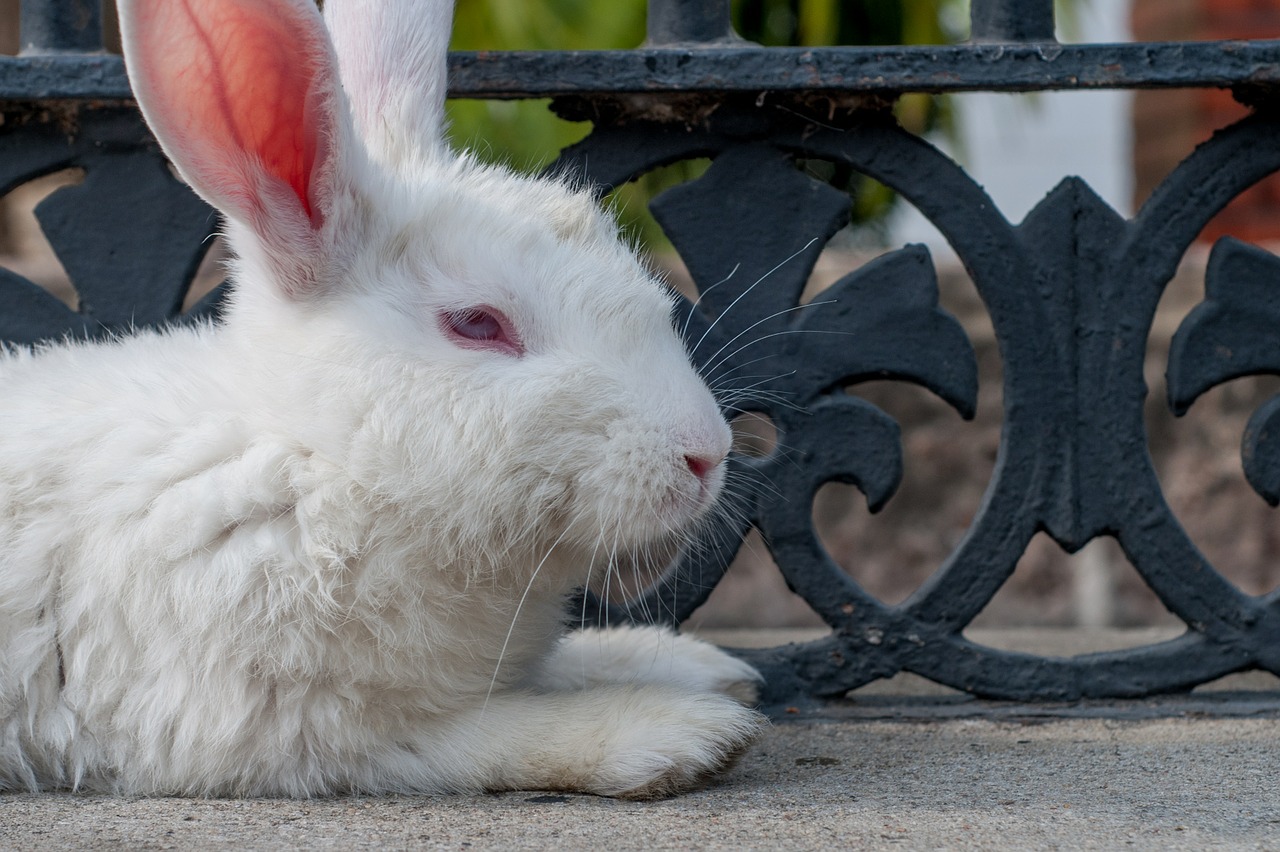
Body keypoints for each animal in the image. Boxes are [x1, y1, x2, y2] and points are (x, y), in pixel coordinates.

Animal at [0, 0, 757, 798]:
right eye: (478, 324)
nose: (707, 455)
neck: (315, 462)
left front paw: (694, 666)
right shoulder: (289, 727)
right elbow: (485, 735)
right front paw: (678, 729)